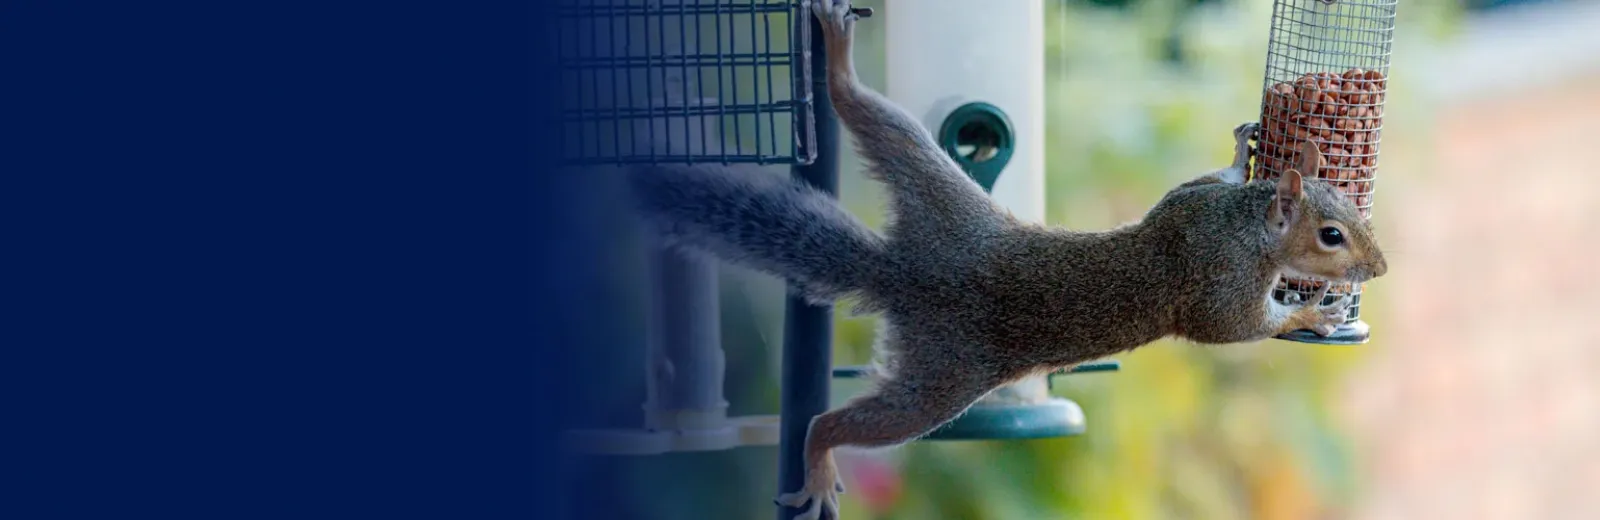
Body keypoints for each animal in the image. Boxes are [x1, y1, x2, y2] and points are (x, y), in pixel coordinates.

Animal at [624, 2, 1388, 515]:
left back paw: (839, 63)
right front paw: (1308, 318)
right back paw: (814, 465)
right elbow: (1234, 329)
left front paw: (1240, 147)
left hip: (933, 189)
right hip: (942, 378)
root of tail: (905, 273)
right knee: (837, 424)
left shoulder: (1187, 207)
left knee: (870, 116)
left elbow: (1194, 184)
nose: (1378, 269)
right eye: (1331, 235)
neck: (1245, 227)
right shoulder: (1215, 286)